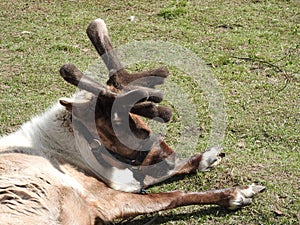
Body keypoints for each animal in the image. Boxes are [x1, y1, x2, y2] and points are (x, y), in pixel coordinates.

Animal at [0, 18, 264, 224]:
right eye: (122, 127)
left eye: (141, 120)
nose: (170, 157)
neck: (67, 149)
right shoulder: (102, 198)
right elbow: (173, 195)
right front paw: (238, 193)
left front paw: (206, 157)